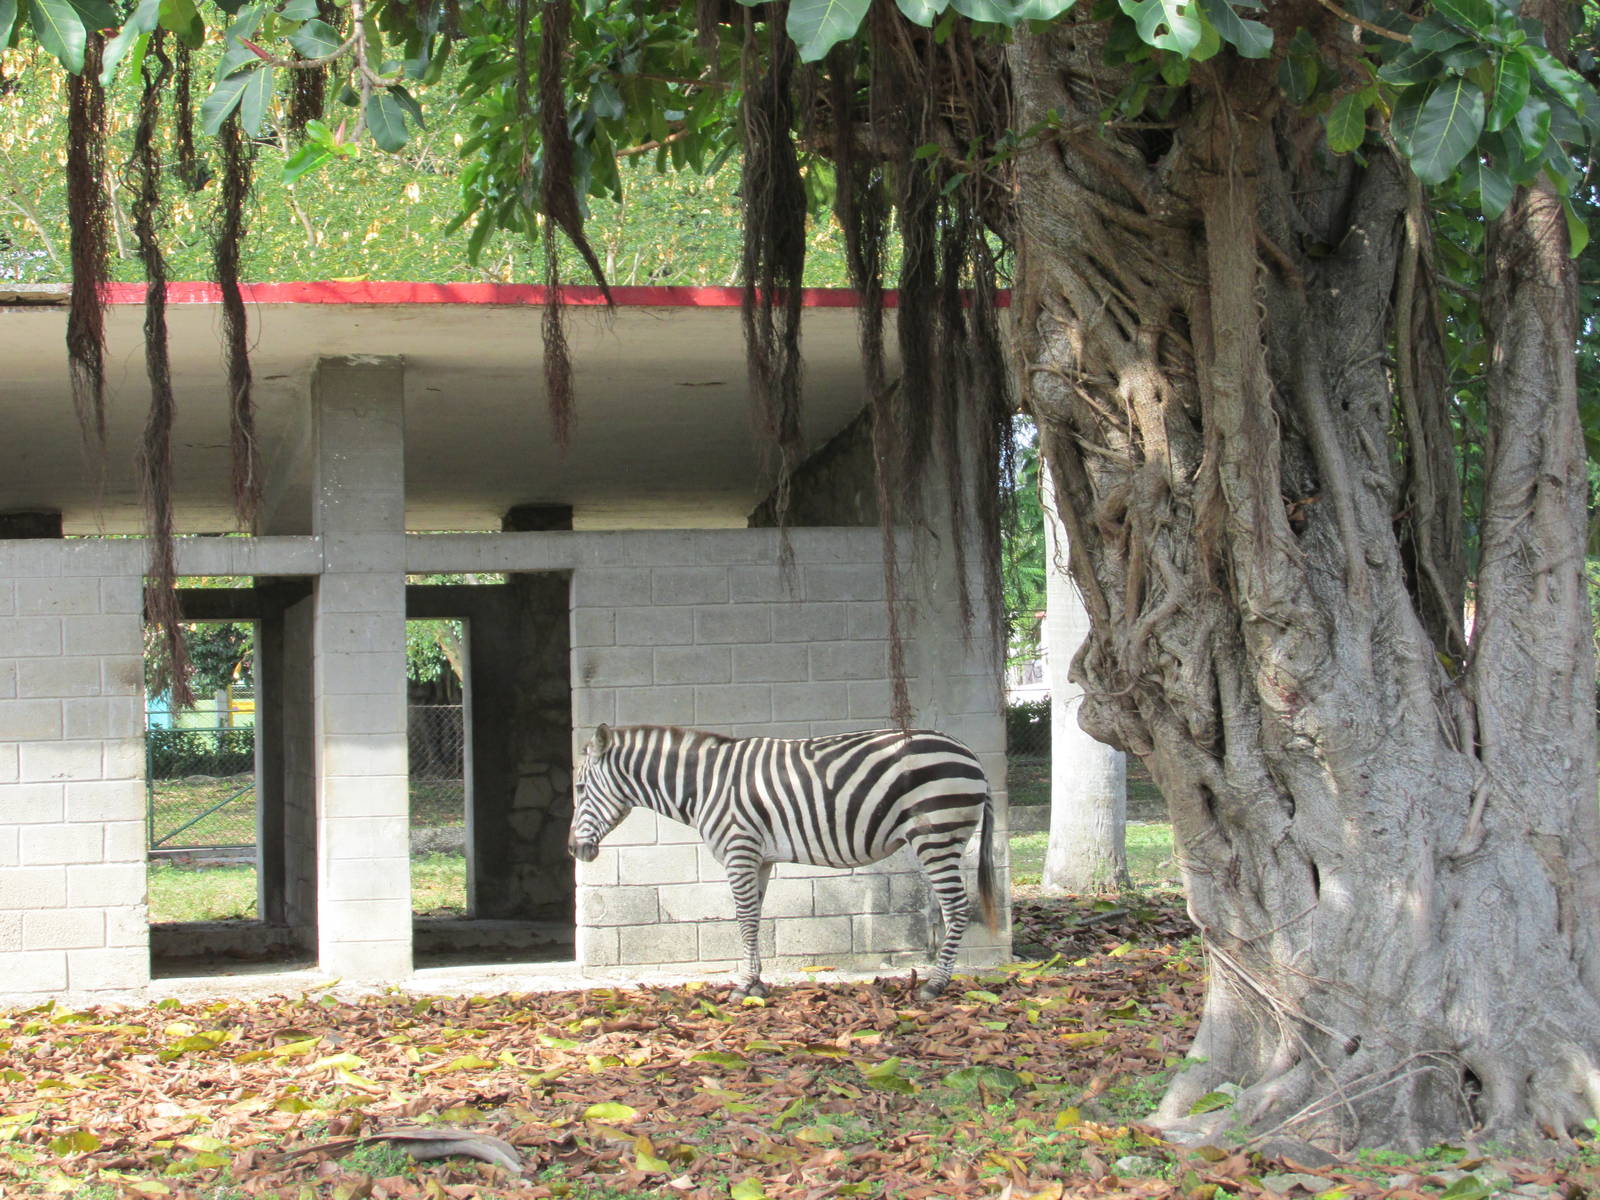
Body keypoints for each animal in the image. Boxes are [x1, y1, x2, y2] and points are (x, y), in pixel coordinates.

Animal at [566, 723, 999, 1001]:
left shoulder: (738, 850)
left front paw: (743, 987)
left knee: (956, 908)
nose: (573, 850)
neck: (705, 786)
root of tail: (972, 755)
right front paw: (756, 983)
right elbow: (755, 918)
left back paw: (935, 985)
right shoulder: (758, 858)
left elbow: (743, 919)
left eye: (580, 788)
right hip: (945, 837)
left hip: (935, 835)